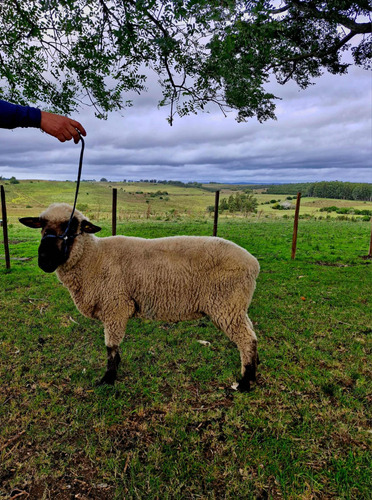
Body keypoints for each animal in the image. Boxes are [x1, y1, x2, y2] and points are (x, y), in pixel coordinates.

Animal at [18, 202, 260, 390]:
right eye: (42, 226)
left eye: (72, 228)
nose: (44, 259)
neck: (94, 258)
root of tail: (253, 264)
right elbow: (114, 348)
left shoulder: (115, 306)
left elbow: (111, 347)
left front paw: (108, 379)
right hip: (236, 306)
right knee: (252, 335)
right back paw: (254, 369)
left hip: (226, 305)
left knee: (246, 340)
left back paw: (245, 383)